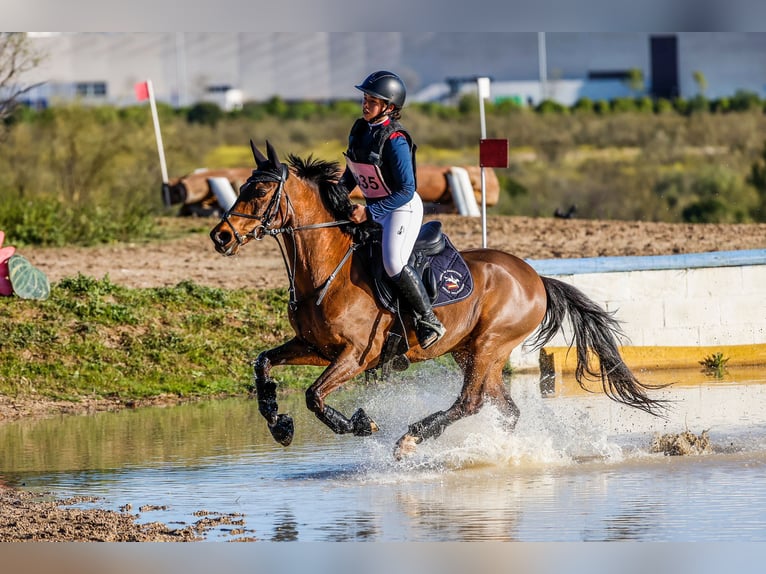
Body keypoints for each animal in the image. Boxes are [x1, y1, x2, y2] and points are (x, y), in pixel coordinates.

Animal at [210, 140, 664, 460]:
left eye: (260, 191)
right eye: (241, 187)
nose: (221, 236)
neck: (325, 270)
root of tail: (535, 276)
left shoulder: (356, 354)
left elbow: (314, 396)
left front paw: (359, 424)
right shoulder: (314, 346)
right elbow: (264, 363)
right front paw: (279, 425)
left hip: (488, 344)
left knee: (470, 401)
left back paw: (412, 439)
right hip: (471, 350)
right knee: (502, 408)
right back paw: (498, 451)